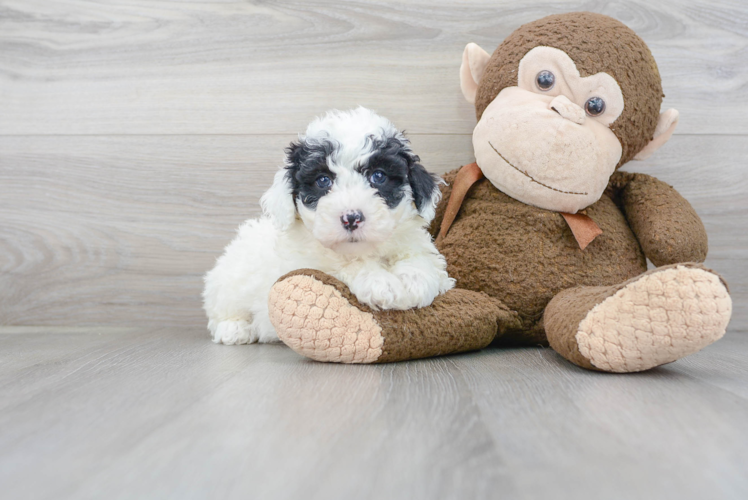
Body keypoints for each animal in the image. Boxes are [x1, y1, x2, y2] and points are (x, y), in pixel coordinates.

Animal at [202, 107, 452, 344]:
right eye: (323, 181)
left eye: (378, 176)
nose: (351, 218)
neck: (365, 250)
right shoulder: (305, 264)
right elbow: (340, 266)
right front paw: (380, 283)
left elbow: (421, 259)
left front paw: (416, 280)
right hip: (228, 282)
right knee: (220, 312)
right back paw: (235, 329)